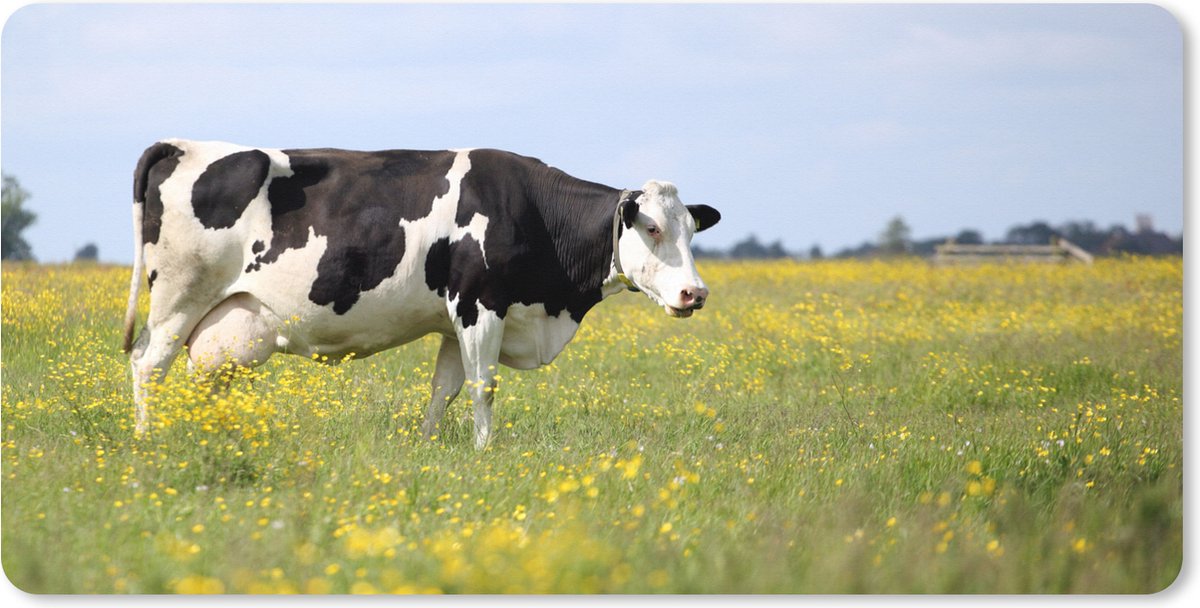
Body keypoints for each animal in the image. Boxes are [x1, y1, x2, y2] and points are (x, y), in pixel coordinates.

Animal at [122, 139, 721, 449]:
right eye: (651, 228)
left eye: (692, 230)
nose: (695, 293)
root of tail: (184, 145)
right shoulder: (481, 304)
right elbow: (483, 388)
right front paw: (484, 452)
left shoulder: (458, 319)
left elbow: (445, 390)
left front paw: (429, 444)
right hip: (178, 296)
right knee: (148, 364)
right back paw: (147, 440)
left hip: (226, 322)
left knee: (208, 379)